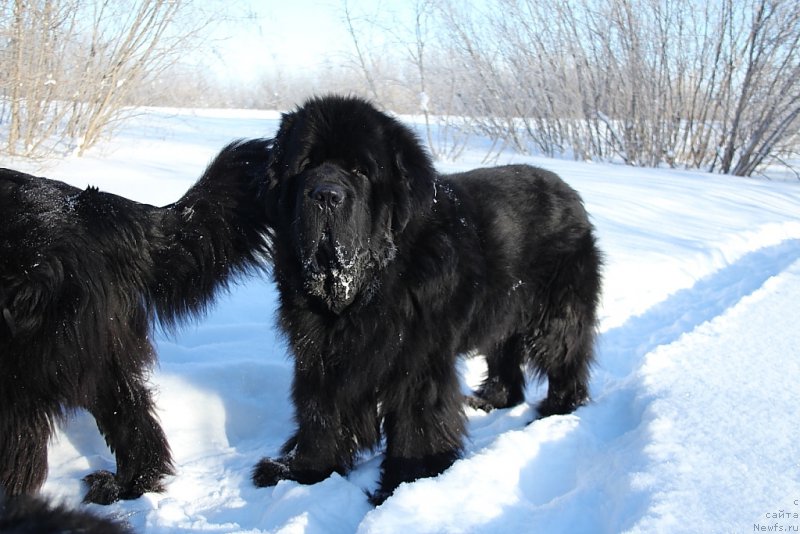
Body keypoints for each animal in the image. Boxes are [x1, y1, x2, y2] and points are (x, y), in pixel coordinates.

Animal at [0, 138, 272, 506]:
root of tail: (95, 210)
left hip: (27, 359)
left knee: (23, 449)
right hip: (100, 351)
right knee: (134, 419)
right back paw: (128, 487)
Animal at [252, 96, 600, 506]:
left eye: (360, 171)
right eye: (306, 166)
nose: (325, 195)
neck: (370, 287)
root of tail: (570, 192)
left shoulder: (417, 358)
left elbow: (417, 421)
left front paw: (408, 482)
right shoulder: (321, 354)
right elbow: (321, 412)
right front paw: (302, 470)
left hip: (555, 315)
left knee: (565, 357)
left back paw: (557, 410)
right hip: (501, 310)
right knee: (504, 356)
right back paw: (491, 399)